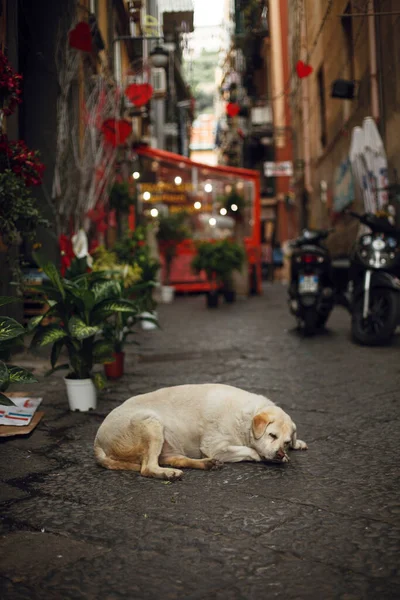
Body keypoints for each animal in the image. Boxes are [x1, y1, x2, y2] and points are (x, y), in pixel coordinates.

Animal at [94, 384, 306, 478]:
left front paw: (298, 445)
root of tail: (97, 443)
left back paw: (206, 464)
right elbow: (251, 451)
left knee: (176, 459)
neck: (247, 419)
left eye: (286, 441)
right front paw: (260, 456)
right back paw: (167, 473)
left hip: (167, 443)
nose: (279, 454)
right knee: (147, 468)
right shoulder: (216, 447)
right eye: (272, 435)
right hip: (151, 423)